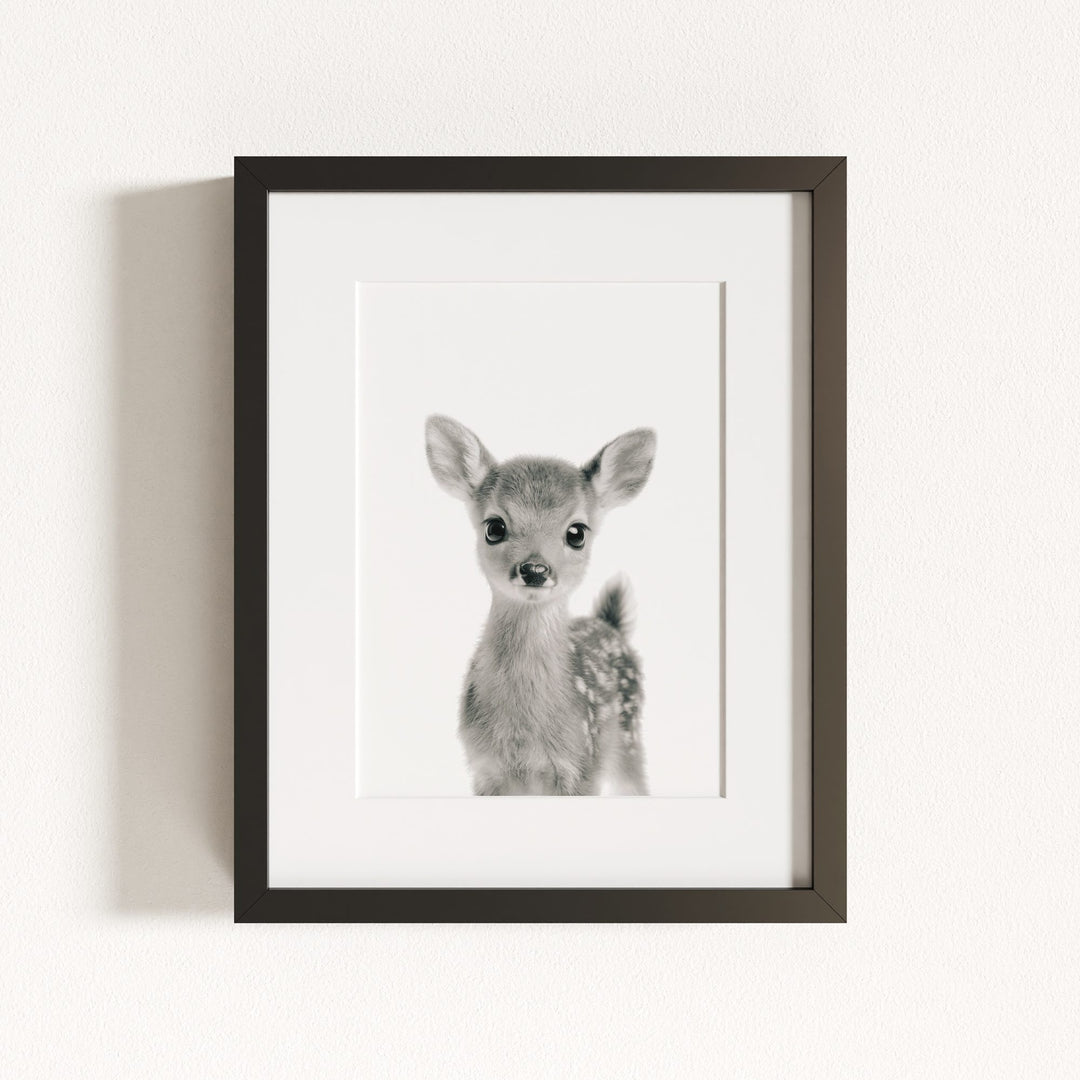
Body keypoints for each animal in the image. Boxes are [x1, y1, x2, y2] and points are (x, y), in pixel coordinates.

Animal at [424, 415, 656, 796]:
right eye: (494, 527)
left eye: (577, 533)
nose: (535, 570)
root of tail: (610, 624)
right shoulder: (484, 769)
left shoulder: (582, 766)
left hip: (628, 738)